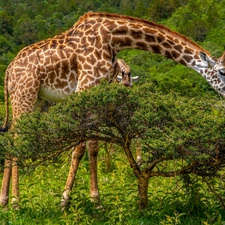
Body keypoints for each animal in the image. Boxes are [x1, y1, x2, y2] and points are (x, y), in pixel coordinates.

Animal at [0, 11, 225, 208]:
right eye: (222, 71)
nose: (224, 93)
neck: (114, 38)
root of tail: (9, 70)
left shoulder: (97, 89)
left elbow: (93, 147)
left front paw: (94, 201)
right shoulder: (85, 86)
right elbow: (80, 147)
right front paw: (67, 202)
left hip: (34, 99)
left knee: (12, 136)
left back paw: (4, 200)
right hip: (25, 94)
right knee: (17, 139)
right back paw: (16, 202)